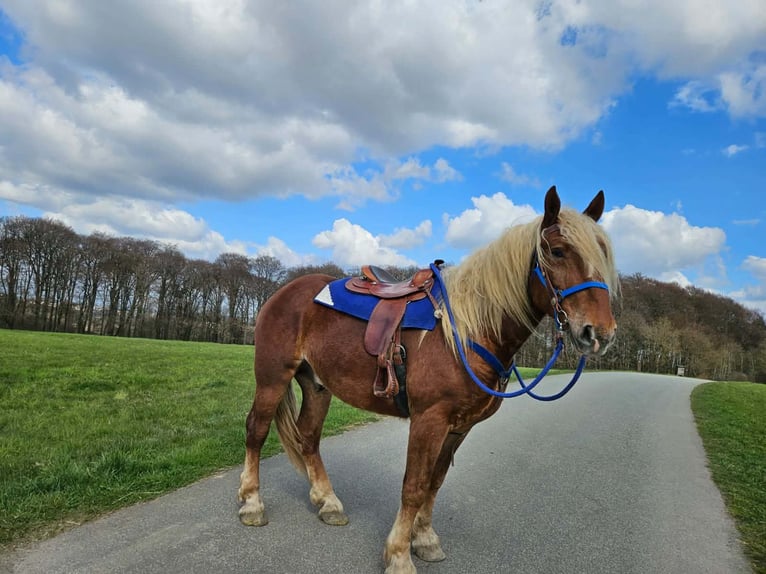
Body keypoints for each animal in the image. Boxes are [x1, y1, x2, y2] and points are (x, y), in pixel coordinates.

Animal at [238, 186, 619, 573]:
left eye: (603, 253)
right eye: (557, 251)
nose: (598, 333)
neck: (466, 331)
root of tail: (286, 291)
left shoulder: (459, 427)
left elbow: (435, 483)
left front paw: (424, 540)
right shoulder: (429, 420)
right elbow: (415, 485)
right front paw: (399, 555)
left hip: (317, 385)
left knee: (309, 437)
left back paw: (327, 502)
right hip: (273, 377)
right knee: (256, 429)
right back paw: (252, 503)